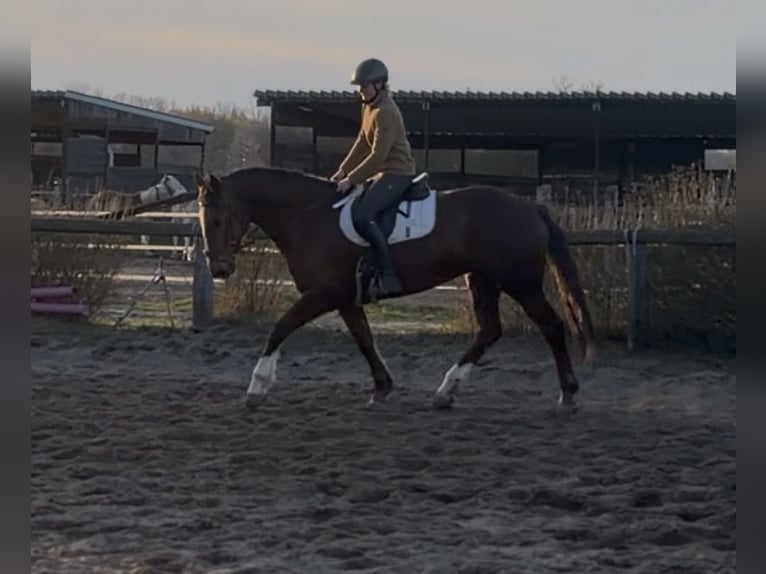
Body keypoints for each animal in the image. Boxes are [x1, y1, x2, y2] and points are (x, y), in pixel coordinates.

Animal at [195, 166, 596, 409]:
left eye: (215, 219)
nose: (220, 269)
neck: (309, 216)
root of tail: (529, 208)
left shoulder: (323, 294)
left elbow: (280, 328)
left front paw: (257, 387)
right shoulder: (345, 298)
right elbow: (364, 339)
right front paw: (381, 387)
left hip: (521, 283)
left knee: (551, 327)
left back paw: (569, 394)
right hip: (483, 280)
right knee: (489, 331)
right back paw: (445, 392)